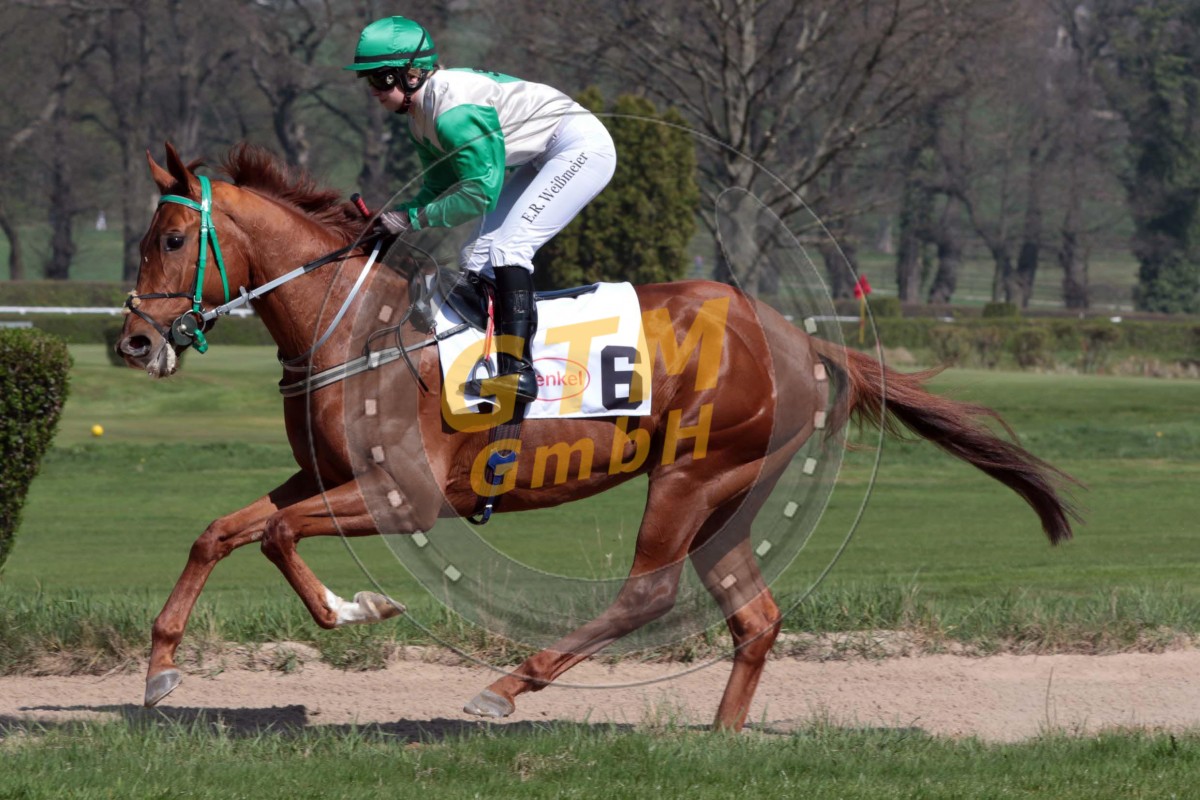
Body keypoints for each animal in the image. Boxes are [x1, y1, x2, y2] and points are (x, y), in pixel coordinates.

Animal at [117, 142, 1077, 731]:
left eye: (171, 238)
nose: (131, 342)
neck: (352, 330)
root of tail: (802, 338)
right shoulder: (325, 475)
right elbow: (223, 531)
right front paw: (160, 669)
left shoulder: (408, 493)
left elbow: (278, 535)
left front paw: (359, 607)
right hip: (733, 494)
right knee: (755, 617)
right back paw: (720, 738)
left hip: (691, 475)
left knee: (646, 594)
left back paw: (506, 687)